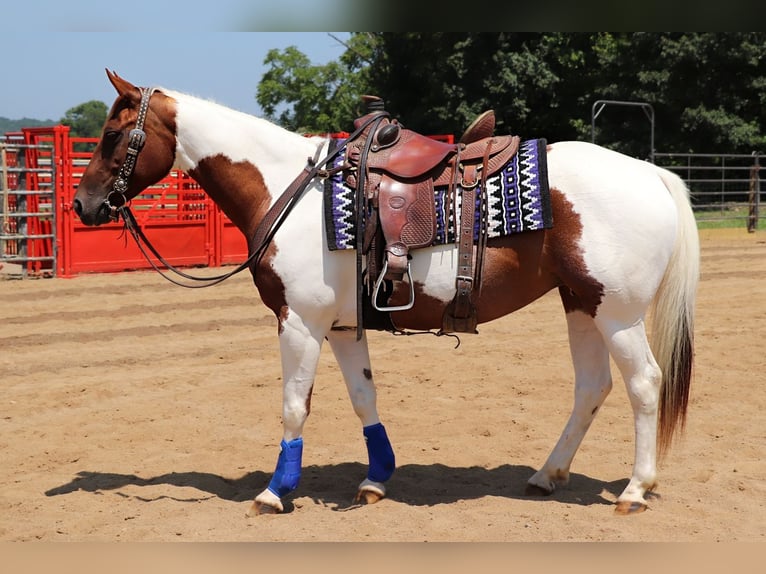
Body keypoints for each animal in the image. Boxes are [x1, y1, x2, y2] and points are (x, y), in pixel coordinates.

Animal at [73, 70, 699, 516]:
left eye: (110, 136)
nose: (82, 205)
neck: (288, 188)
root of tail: (651, 173)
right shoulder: (342, 327)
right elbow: (363, 398)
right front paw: (375, 480)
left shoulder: (299, 322)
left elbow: (294, 406)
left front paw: (275, 491)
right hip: (579, 303)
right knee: (592, 387)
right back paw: (547, 475)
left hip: (617, 312)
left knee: (644, 384)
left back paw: (634, 489)